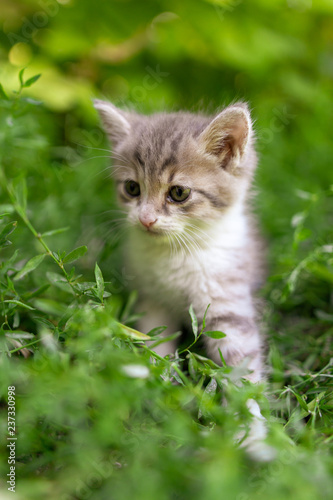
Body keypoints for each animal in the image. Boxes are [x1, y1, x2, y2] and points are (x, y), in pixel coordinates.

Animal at [94, 99, 264, 384]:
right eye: (132, 188)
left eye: (179, 192)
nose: (146, 219)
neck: (176, 252)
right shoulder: (153, 303)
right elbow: (156, 343)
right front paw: (158, 381)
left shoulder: (227, 301)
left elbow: (241, 360)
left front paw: (250, 398)